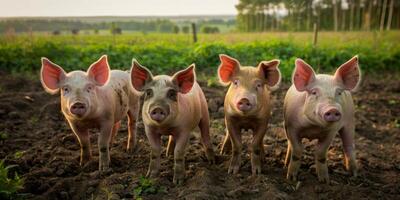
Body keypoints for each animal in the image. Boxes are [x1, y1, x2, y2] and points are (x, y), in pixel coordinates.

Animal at [282, 55, 360, 183]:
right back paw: (285, 164)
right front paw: (291, 178)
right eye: (314, 92)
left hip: (350, 121)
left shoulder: (331, 132)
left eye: (339, 92)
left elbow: (321, 153)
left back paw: (353, 173)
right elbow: (297, 150)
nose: (332, 109)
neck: (313, 127)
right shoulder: (292, 127)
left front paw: (324, 181)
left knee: (348, 145)